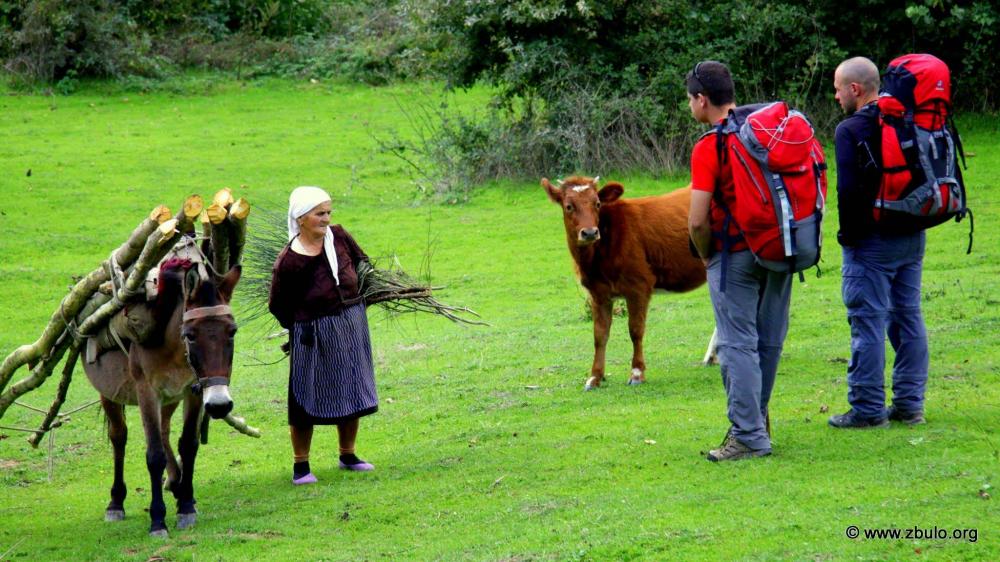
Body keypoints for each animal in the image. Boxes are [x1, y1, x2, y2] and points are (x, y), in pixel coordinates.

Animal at [548, 176, 712, 390]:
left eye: (597, 203)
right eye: (569, 206)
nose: (590, 232)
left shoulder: (639, 286)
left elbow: (635, 330)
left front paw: (637, 373)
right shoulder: (598, 293)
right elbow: (599, 335)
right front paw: (595, 377)